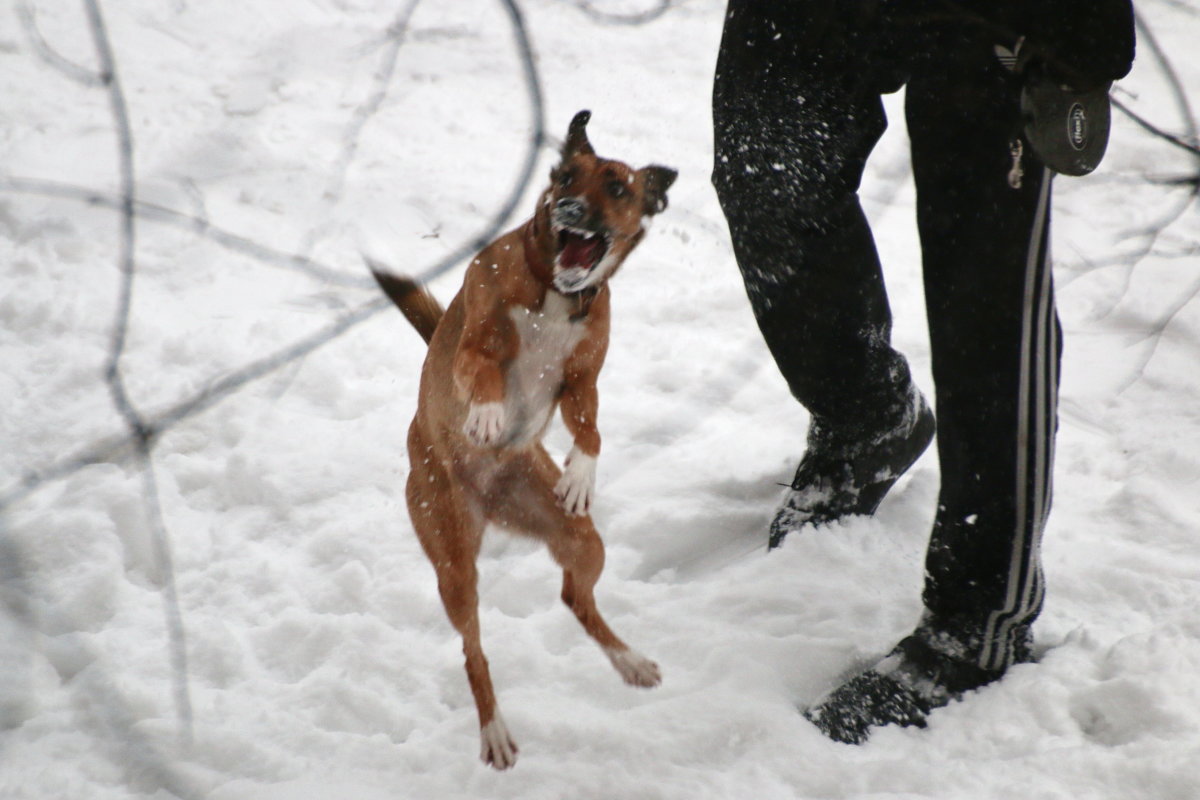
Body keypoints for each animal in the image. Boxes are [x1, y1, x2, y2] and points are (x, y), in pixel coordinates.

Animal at [369, 112, 681, 767]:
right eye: (564, 176)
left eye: (617, 187)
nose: (569, 207)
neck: (557, 289)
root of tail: (489, 503)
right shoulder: (473, 346)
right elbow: (484, 372)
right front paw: (487, 416)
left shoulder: (582, 380)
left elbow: (591, 426)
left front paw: (581, 472)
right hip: (453, 562)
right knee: (474, 650)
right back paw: (494, 730)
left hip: (580, 539)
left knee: (575, 599)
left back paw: (630, 661)